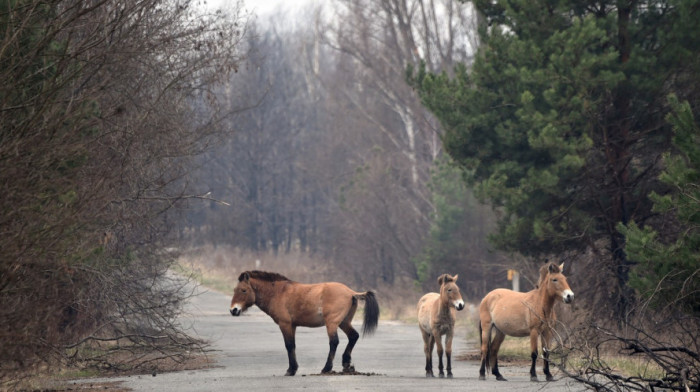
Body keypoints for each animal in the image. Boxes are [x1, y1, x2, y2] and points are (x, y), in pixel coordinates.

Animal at [231, 270, 380, 376]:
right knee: (353, 336)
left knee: (334, 342)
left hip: (332, 323)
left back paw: (326, 368)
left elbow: (289, 345)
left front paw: (291, 370)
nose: (233, 310)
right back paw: (346, 364)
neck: (278, 292)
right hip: (344, 322)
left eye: (243, 290)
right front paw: (293, 368)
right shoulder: (293, 326)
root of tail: (351, 292)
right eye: (234, 290)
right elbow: (293, 346)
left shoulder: (285, 324)